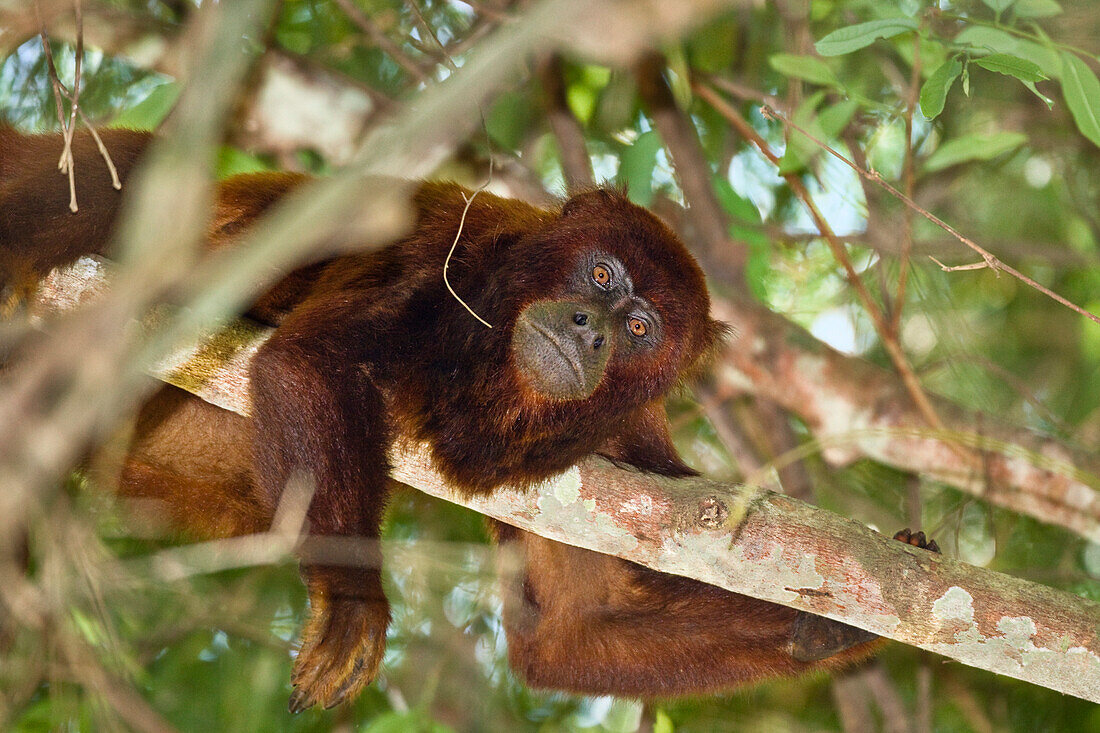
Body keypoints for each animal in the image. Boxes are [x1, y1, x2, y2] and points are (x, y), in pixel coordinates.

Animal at [0, 125, 937, 708]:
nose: (593, 329)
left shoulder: (620, 439)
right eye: (602, 274)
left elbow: (570, 630)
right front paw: (353, 603)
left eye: (642, 329)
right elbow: (311, 361)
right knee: (128, 171)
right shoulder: (451, 252)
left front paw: (826, 625)